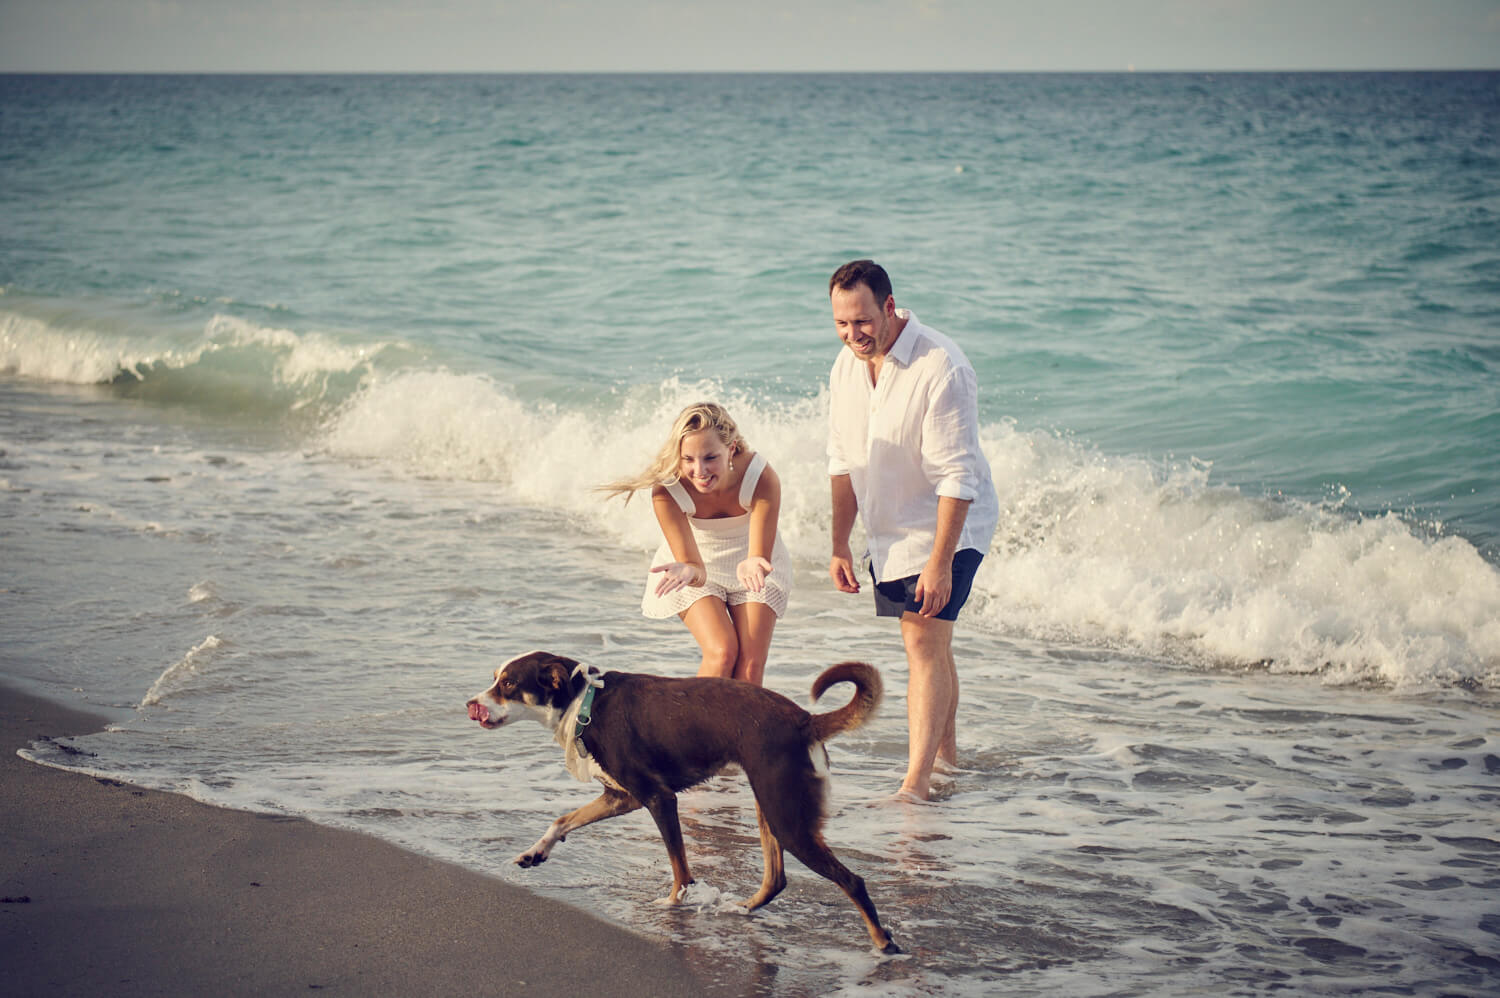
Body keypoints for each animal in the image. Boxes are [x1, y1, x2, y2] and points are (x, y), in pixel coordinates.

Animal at [462, 651, 894, 954]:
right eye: (495, 679)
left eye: (508, 684)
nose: (470, 703)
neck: (585, 702)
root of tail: (805, 720)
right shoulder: (621, 797)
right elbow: (563, 820)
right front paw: (535, 852)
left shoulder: (658, 799)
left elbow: (680, 870)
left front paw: (673, 905)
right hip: (771, 807)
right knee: (776, 878)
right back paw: (743, 909)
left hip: (787, 819)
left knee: (852, 881)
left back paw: (883, 944)